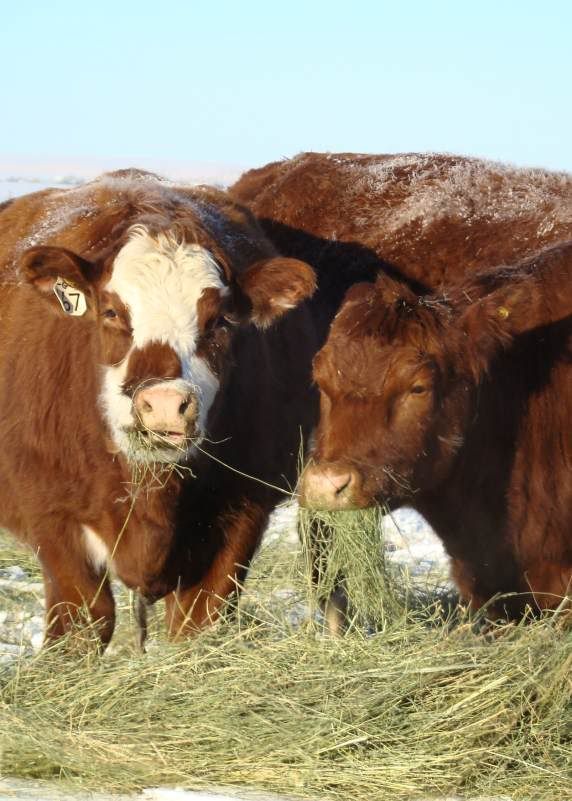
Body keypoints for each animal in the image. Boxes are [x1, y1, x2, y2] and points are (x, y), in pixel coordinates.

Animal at [0, 170, 318, 646]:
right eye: (111, 312)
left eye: (220, 320)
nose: (166, 405)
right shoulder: (52, 514)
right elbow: (83, 622)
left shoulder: (245, 511)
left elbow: (197, 624)